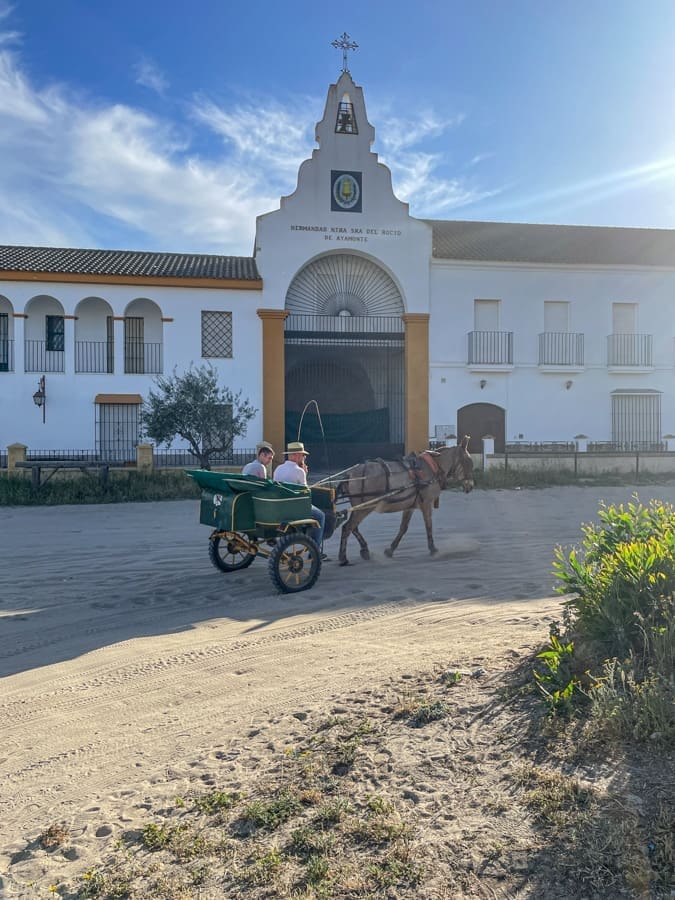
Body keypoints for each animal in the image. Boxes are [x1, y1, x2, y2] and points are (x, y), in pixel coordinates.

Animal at [338, 436, 476, 564]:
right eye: (468, 462)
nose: (471, 486)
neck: (433, 467)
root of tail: (350, 474)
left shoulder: (410, 506)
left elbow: (403, 528)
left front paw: (390, 550)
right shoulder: (426, 504)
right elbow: (429, 525)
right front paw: (433, 549)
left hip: (360, 507)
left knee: (353, 527)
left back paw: (364, 550)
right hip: (364, 507)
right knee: (348, 527)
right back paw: (343, 557)